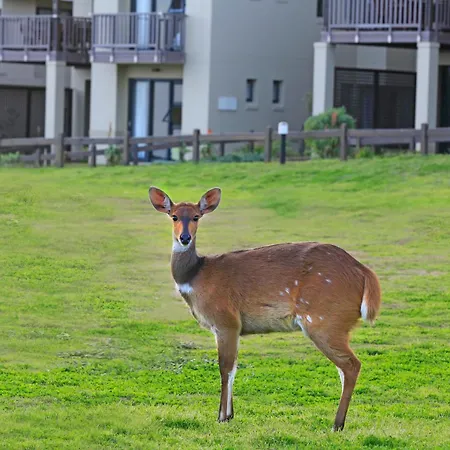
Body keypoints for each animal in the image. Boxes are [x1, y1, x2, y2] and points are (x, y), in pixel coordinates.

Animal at [149, 186, 381, 431]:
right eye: (174, 216)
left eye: (196, 216)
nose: (184, 238)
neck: (197, 276)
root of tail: (364, 272)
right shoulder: (232, 328)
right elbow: (234, 366)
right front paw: (230, 415)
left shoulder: (226, 321)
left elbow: (225, 367)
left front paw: (221, 417)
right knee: (344, 368)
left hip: (324, 322)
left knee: (351, 365)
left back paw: (337, 424)